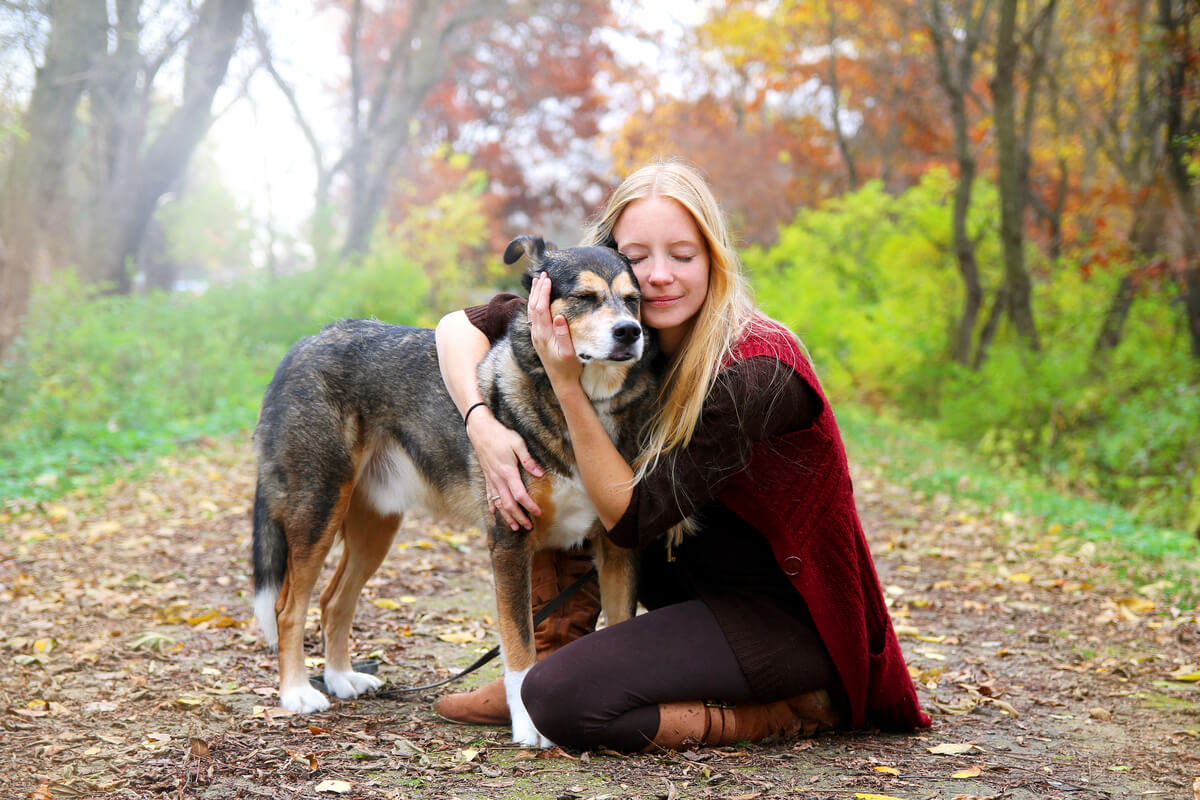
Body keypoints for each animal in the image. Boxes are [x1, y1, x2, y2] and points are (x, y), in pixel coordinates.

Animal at [250, 235, 657, 748]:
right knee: (288, 607)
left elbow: (621, 630)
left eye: (634, 300)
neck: (578, 407)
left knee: (333, 601)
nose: (629, 332)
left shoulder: (617, 548)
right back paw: (297, 693)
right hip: (319, 507)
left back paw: (341, 678)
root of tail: (303, 344)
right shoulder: (509, 543)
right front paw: (528, 725)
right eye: (585, 297)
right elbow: (520, 650)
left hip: (374, 527)